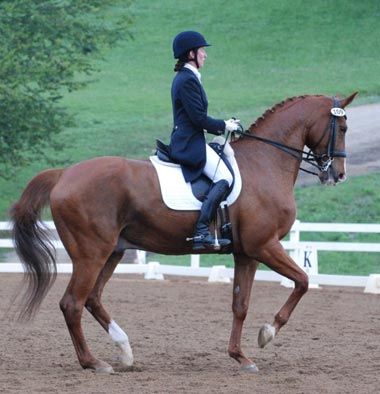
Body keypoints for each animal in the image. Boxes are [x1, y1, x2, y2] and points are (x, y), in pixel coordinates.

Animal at [10, 91, 358, 372]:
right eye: (341, 128)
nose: (338, 175)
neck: (265, 164)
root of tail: (64, 174)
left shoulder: (246, 253)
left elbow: (240, 305)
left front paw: (240, 357)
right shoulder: (264, 245)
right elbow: (302, 281)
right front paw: (266, 334)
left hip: (113, 251)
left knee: (92, 299)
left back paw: (125, 351)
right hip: (91, 254)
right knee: (72, 303)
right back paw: (94, 363)